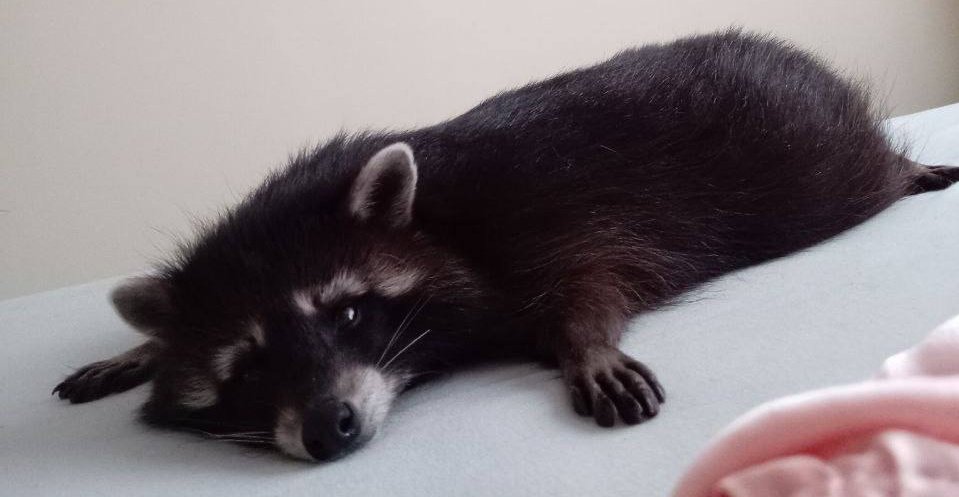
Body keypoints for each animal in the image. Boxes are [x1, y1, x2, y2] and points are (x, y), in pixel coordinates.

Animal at [54, 30, 959, 462]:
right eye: (247, 362)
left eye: (345, 312)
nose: (327, 429)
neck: (432, 215)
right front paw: (139, 351)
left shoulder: (555, 218)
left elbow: (593, 282)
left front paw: (582, 343)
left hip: (826, 160)